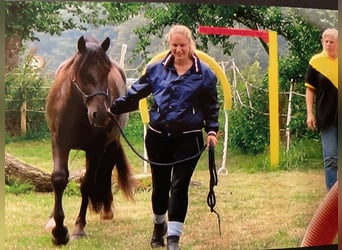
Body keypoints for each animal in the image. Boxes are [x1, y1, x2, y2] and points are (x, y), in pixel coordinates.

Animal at [45, 36, 135, 245]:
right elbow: (59, 178)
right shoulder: (59, 143)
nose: (100, 114)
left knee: (106, 169)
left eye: (107, 70)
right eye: (83, 71)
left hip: (110, 144)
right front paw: (58, 231)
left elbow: (86, 183)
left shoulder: (95, 149)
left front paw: (78, 228)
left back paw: (107, 209)